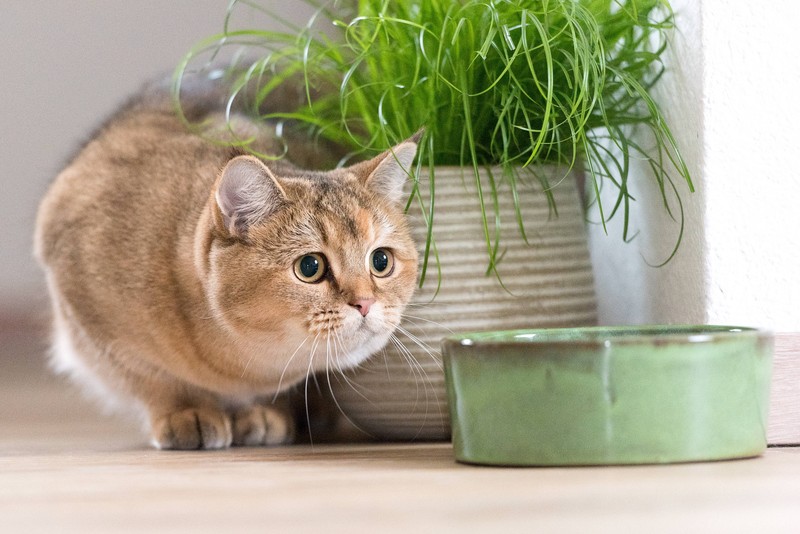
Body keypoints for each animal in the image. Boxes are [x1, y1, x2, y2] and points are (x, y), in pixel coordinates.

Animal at [32, 69, 418, 450]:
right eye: (310, 267)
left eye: (381, 261)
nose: (365, 303)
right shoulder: (86, 314)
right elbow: (153, 378)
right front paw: (187, 411)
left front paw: (264, 412)